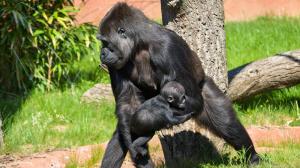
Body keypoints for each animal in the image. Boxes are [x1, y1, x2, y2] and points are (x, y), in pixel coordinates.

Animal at [98, 1, 260, 167]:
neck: (139, 43)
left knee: (225, 122)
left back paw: (252, 156)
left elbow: (191, 98)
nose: (101, 53)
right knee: (121, 134)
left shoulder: (167, 48)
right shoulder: (116, 63)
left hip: (203, 85)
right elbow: (127, 107)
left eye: (105, 42)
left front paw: (158, 115)